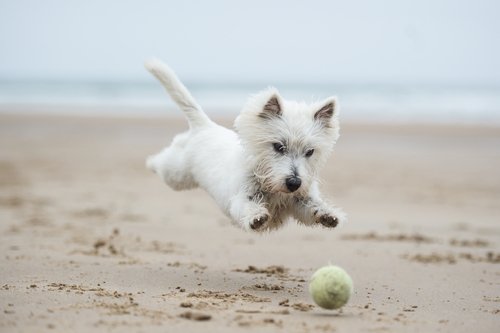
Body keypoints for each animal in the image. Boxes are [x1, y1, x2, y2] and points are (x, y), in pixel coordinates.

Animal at [146, 59, 346, 231]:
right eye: (278, 147)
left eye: (310, 152)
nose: (294, 183)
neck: (271, 186)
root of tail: (205, 126)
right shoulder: (241, 197)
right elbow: (247, 206)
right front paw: (257, 217)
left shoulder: (299, 201)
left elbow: (311, 206)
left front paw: (328, 214)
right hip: (177, 174)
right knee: (163, 161)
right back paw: (150, 162)